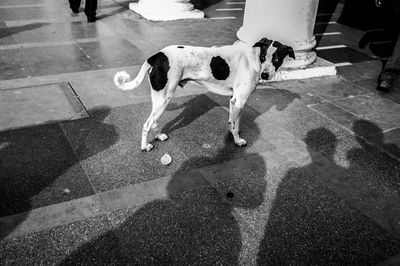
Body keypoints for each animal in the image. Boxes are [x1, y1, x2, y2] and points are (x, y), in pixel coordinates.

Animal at [112, 37, 294, 152]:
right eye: (263, 57)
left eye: (277, 59)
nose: (265, 75)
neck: (253, 59)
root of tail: (158, 55)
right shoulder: (240, 101)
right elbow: (236, 126)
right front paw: (237, 141)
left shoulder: (233, 100)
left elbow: (232, 120)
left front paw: (231, 128)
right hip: (163, 99)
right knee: (147, 124)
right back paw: (145, 147)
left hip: (160, 100)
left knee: (154, 122)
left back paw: (158, 136)